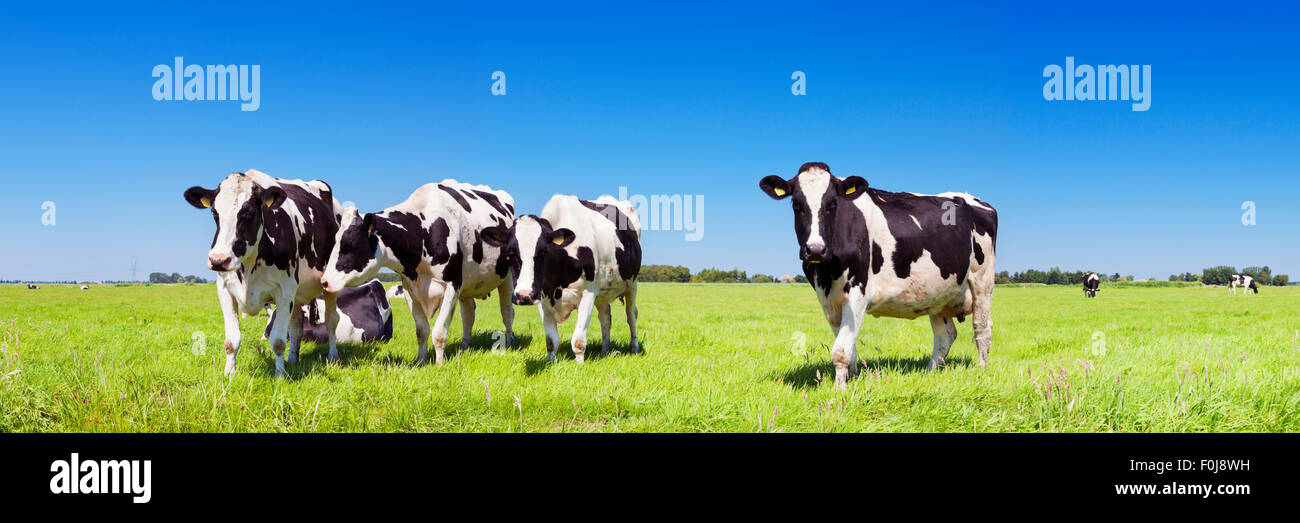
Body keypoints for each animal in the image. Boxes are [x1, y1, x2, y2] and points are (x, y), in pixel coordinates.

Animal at [184, 169, 343, 376]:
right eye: (214, 212)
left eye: (248, 212)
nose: (218, 260)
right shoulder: (225, 289)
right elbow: (231, 340)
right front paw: (229, 374)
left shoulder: (284, 290)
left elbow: (278, 341)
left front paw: (280, 376)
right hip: (296, 293)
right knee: (296, 325)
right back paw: (293, 360)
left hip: (329, 284)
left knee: (331, 320)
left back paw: (333, 357)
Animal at [319, 180, 517, 366]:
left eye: (348, 245)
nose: (324, 281)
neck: (423, 232)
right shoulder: (410, 288)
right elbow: (422, 330)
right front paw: (421, 362)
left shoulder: (452, 285)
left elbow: (439, 332)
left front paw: (439, 365)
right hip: (468, 285)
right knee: (468, 315)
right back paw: (464, 347)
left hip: (506, 278)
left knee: (507, 312)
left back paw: (509, 343)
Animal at [481, 194, 642, 363]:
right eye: (510, 251)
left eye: (544, 251)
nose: (524, 295)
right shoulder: (542, 297)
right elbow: (551, 340)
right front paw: (550, 362)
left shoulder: (588, 294)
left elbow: (578, 340)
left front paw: (580, 365)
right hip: (603, 293)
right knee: (605, 318)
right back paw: (605, 351)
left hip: (632, 284)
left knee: (631, 315)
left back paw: (634, 349)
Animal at [760, 162, 998, 389]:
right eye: (796, 204)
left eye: (833, 204)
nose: (815, 250)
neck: (827, 273)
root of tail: (974, 199)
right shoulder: (827, 300)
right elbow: (849, 348)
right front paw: (852, 379)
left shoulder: (858, 291)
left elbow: (840, 350)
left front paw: (839, 392)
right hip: (939, 294)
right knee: (945, 336)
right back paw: (928, 373)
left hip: (982, 280)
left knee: (982, 330)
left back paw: (982, 374)